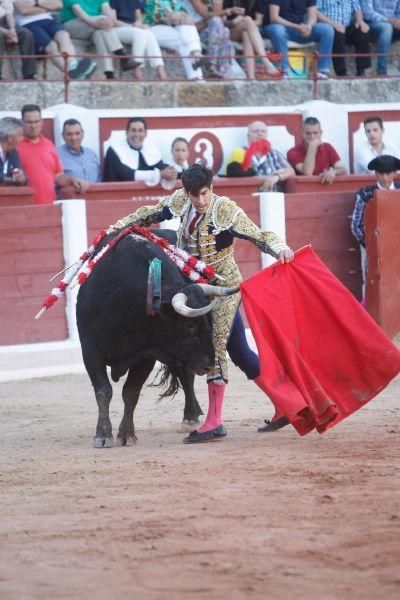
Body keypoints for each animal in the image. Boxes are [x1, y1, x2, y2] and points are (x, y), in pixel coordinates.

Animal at [76, 230, 234, 446]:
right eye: (190, 325)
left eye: (211, 322)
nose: (210, 364)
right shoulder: (90, 350)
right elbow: (103, 391)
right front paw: (103, 435)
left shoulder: (146, 354)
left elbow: (130, 392)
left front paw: (126, 434)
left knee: (186, 376)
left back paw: (191, 417)